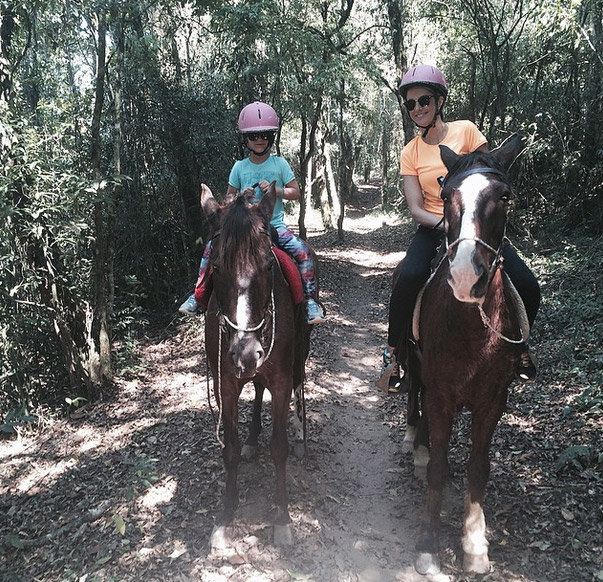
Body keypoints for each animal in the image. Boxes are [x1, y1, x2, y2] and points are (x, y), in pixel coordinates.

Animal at [203, 184, 314, 552]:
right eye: (216, 268)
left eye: (268, 266)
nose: (247, 352)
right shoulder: (224, 382)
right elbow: (231, 449)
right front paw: (225, 517)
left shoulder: (279, 378)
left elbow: (278, 448)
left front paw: (282, 519)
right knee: (256, 387)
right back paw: (253, 438)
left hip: (300, 351)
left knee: (298, 381)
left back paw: (301, 434)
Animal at [406, 136, 528, 576]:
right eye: (445, 195)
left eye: (505, 197)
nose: (464, 277)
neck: (471, 331)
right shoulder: (440, 393)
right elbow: (439, 468)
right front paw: (428, 543)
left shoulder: (493, 399)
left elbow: (478, 466)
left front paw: (475, 545)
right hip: (417, 369)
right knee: (415, 395)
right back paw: (416, 445)